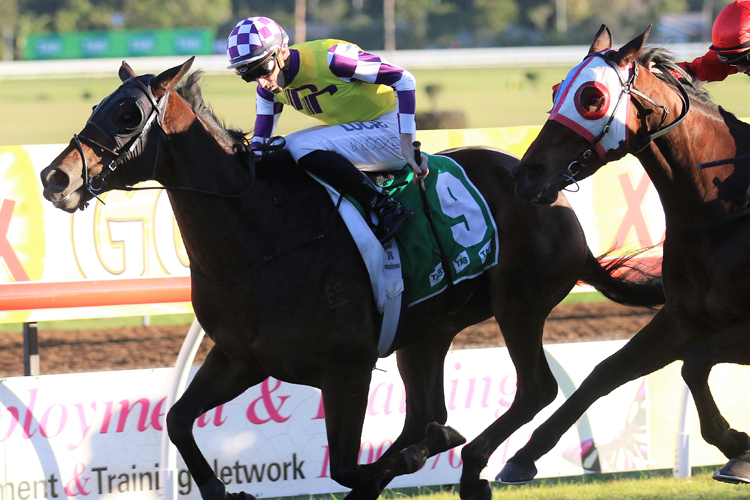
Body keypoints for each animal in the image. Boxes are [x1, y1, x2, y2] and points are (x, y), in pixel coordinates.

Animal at [39, 58, 664, 500]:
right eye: (98, 104)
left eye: (127, 114)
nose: (53, 177)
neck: (263, 235)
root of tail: (555, 196)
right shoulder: (241, 356)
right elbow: (175, 419)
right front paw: (220, 488)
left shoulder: (347, 367)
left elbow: (345, 466)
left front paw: (417, 458)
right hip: (427, 333)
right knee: (425, 413)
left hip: (520, 305)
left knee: (532, 389)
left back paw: (477, 463)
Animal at [502, 25, 750, 486]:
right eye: (556, 91)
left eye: (591, 98)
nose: (525, 175)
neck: (722, 209)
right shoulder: (683, 318)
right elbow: (605, 372)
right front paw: (524, 455)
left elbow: (694, 363)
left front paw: (737, 447)